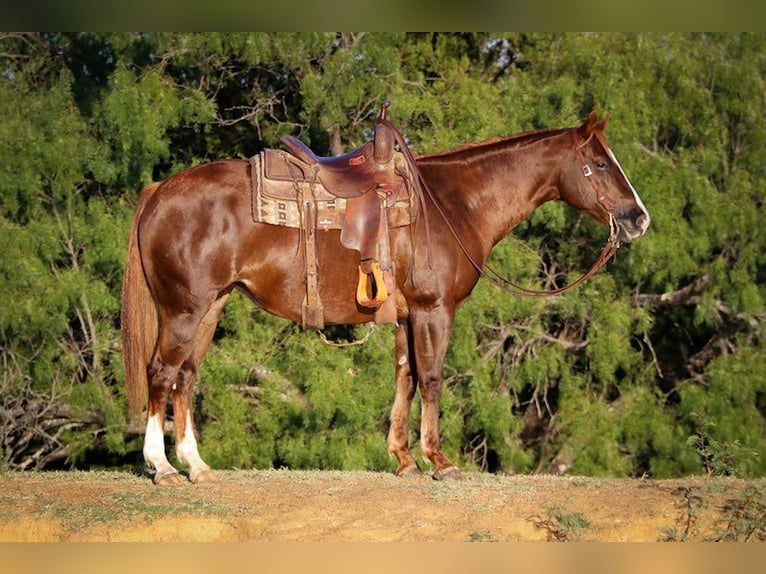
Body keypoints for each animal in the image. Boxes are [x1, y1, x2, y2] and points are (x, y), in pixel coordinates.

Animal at [123, 110, 652, 484]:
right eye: (600, 163)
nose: (638, 218)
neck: (453, 204)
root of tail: (159, 190)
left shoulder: (404, 316)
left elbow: (406, 379)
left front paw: (403, 459)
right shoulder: (434, 311)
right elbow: (433, 379)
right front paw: (439, 460)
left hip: (210, 308)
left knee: (187, 377)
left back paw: (196, 465)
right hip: (184, 310)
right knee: (162, 372)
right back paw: (163, 468)